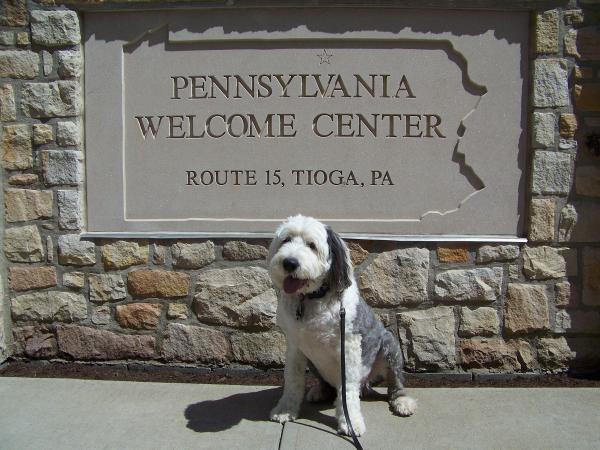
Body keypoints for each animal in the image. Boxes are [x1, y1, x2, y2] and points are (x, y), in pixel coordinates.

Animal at [268, 214, 414, 436]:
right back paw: (320, 391)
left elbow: (348, 388)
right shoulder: (295, 346)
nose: (290, 263)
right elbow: (292, 379)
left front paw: (350, 422)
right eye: (286, 240)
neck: (311, 299)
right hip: (313, 360)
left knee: (394, 383)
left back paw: (402, 402)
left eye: (312, 245)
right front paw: (285, 411)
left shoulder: (349, 346)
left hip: (390, 346)